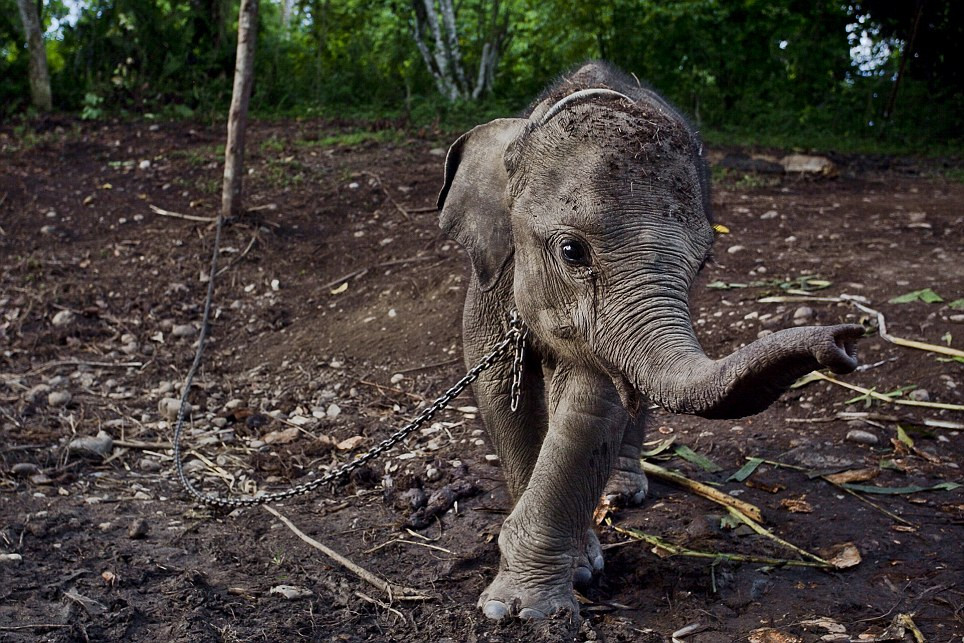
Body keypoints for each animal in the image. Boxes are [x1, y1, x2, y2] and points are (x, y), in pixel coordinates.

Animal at [436, 61, 862, 622]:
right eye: (572, 251)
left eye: (703, 263)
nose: (844, 342)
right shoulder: (489, 275)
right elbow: (499, 389)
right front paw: (528, 599)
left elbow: (593, 406)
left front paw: (532, 605)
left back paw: (620, 491)